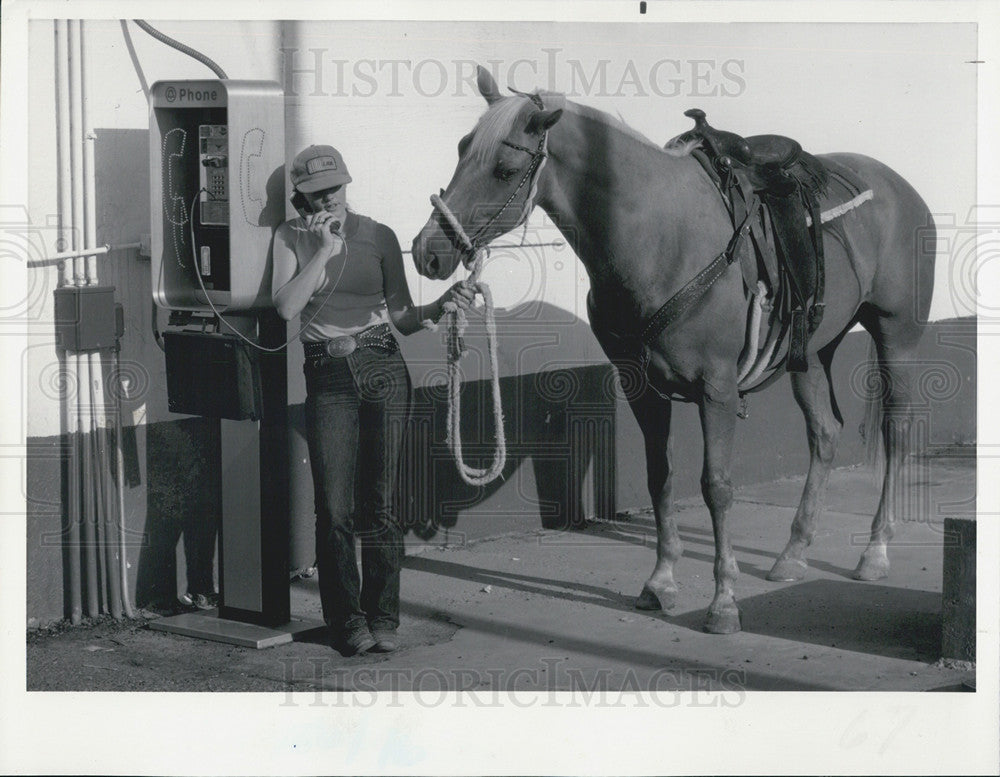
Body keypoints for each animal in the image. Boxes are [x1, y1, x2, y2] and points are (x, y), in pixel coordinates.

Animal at [408, 66, 936, 632]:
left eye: (505, 170)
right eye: (462, 151)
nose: (426, 252)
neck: (658, 238)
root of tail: (901, 187)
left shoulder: (717, 388)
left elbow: (717, 486)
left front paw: (724, 601)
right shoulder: (641, 387)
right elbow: (659, 477)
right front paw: (660, 582)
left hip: (897, 337)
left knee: (896, 432)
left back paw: (875, 552)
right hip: (810, 350)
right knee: (825, 434)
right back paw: (793, 554)